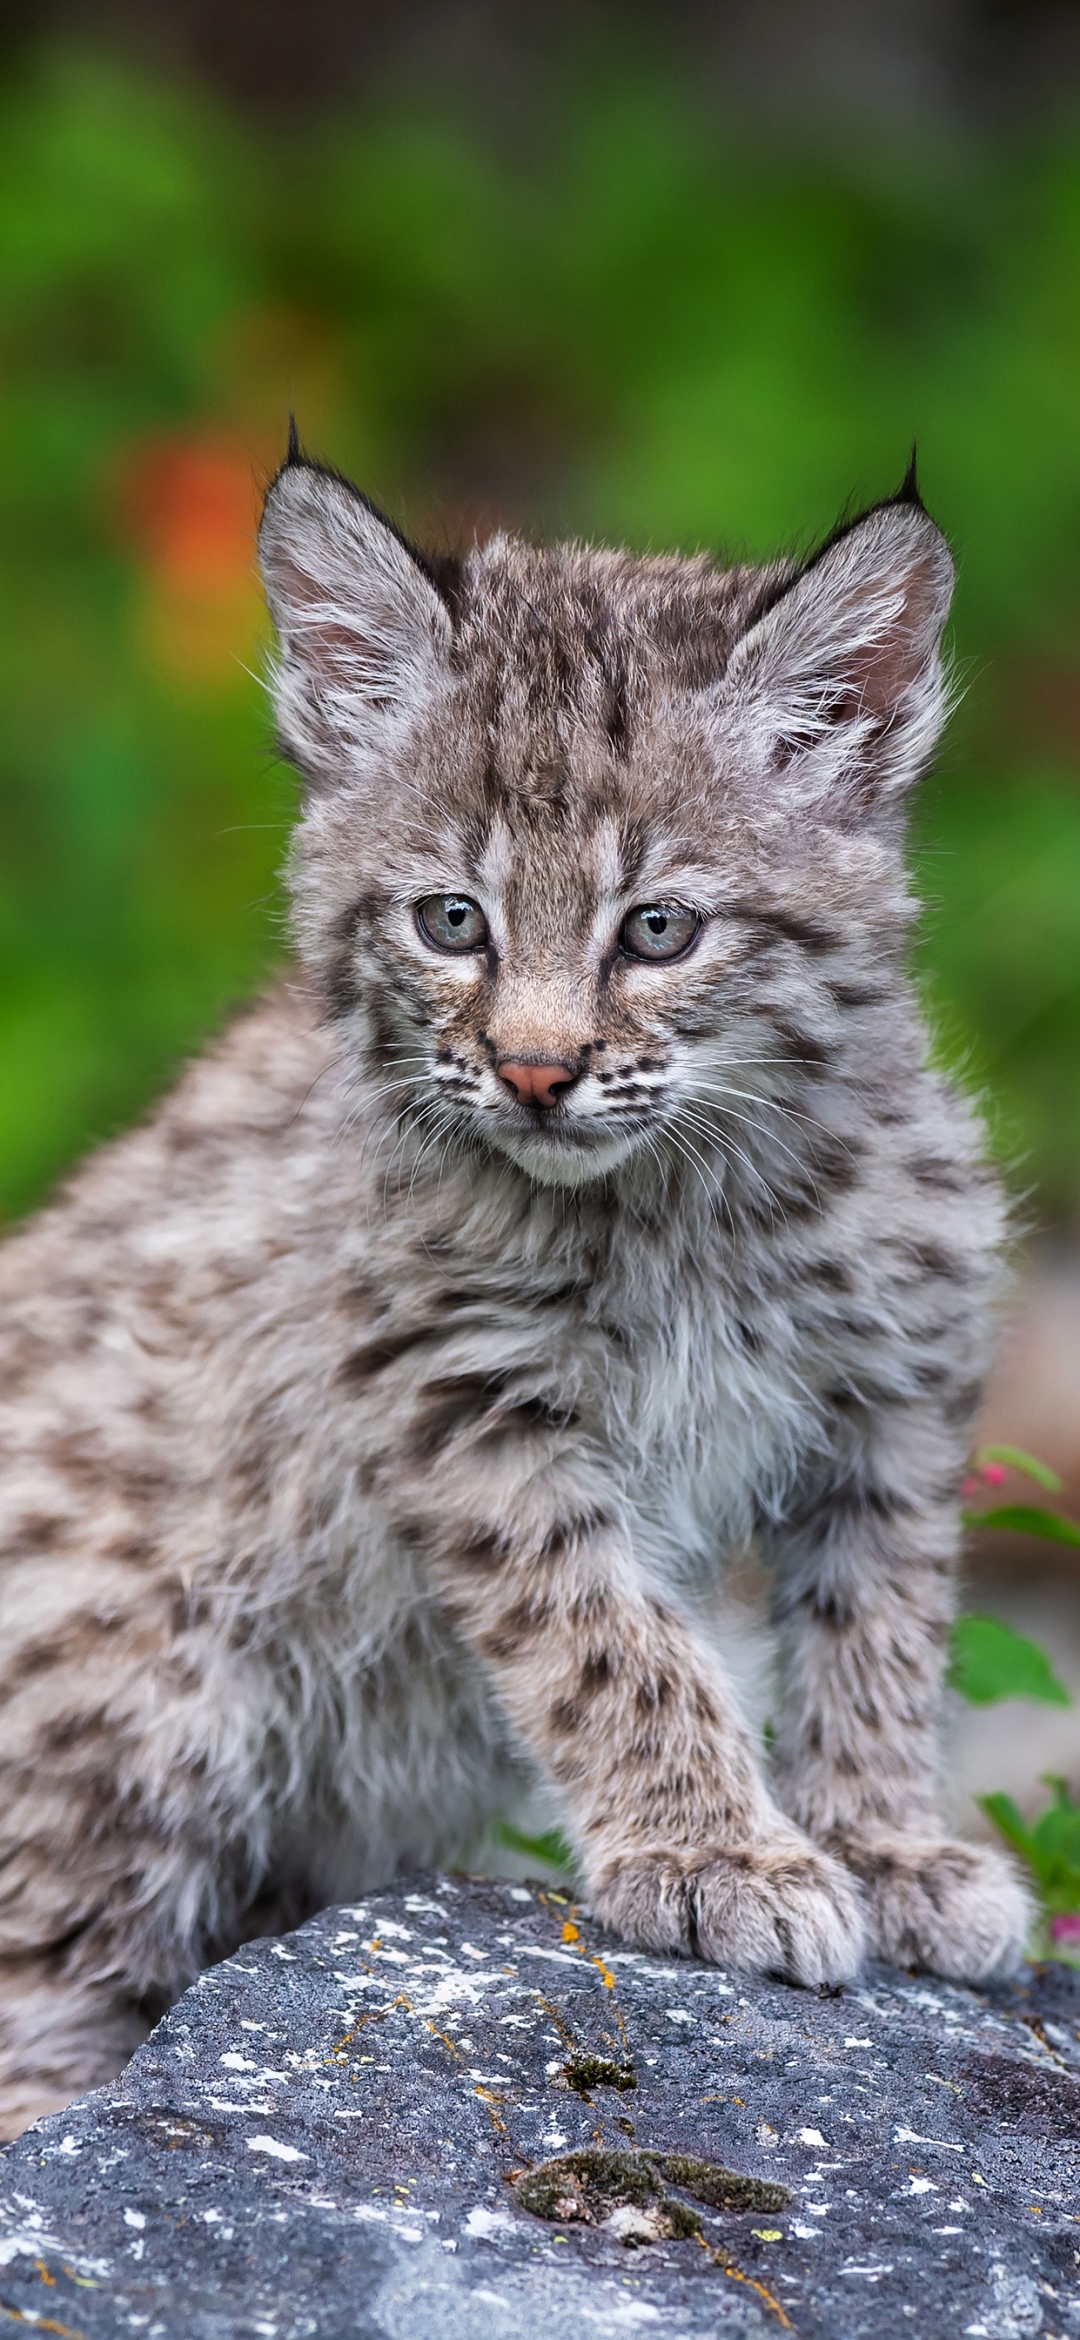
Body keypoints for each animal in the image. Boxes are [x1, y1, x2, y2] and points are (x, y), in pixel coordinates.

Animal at [0, 442, 1028, 2143]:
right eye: (452, 922)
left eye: (658, 929)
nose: (537, 1073)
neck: (681, 1196)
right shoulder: (462, 1391)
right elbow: (614, 1638)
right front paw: (715, 1858)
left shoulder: (897, 1383)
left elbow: (881, 1627)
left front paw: (885, 1844)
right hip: (140, 1702)